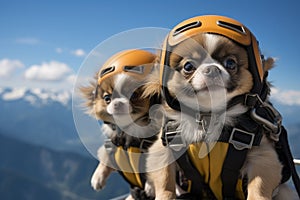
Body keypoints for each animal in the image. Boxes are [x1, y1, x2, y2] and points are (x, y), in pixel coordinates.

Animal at [79, 48, 162, 200]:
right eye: (107, 98)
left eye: (133, 95)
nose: (117, 103)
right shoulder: (112, 146)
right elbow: (105, 157)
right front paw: (97, 177)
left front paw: (151, 186)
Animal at [144, 15, 296, 200]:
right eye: (188, 66)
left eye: (230, 63)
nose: (211, 69)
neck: (208, 117)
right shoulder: (162, 150)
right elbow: (165, 180)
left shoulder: (263, 156)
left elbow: (260, 185)